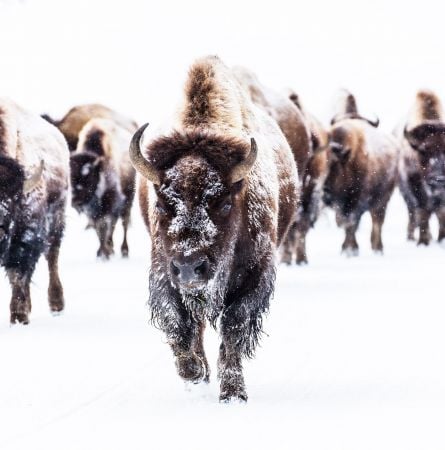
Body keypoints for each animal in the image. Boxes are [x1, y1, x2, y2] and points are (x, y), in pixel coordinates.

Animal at [0, 97, 69, 324]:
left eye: (12, 200)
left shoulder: (25, 235)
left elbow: (19, 272)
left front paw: (19, 316)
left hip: (57, 218)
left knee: (52, 256)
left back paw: (56, 305)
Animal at [68, 117, 135, 256]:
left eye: (88, 176)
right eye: (69, 176)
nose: (75, 201)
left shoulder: (110, 202)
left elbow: (103, 225)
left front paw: (104, 253)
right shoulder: (92, 211)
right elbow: (97, 228)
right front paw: (103, 251)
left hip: (128, 199)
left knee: (124, 222)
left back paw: (124, 250)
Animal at [132, 54, 298, 402]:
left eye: (222, 203)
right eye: (162, 203)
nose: (190, 268)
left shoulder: (255, 274)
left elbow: (234, 327)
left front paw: (233, 393)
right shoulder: (164, 273)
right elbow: (178, 324)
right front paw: (195, 374)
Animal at [398, 89, 444, 244]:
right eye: (423, 150)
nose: (439, 179)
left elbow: (441, 214)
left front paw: (441, 239)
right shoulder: (415, 187)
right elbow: (423, 213)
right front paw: (423, 241)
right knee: (414, 213)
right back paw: (412, 237)